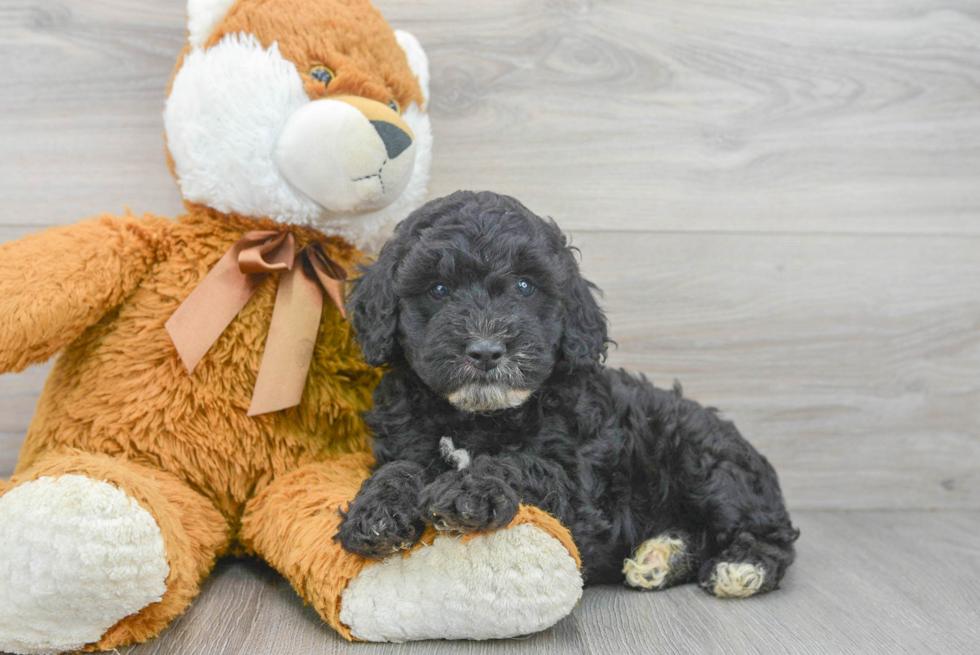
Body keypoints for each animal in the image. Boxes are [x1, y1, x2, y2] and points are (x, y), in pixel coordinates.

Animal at [336, 191, 796, 600]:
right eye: (437, 289)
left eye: (524, 286)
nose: (485, 350)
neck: (479, 416)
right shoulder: (404, 439)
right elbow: (397, 469)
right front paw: (377, 511)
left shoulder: (581, 491)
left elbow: (522, 465)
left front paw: (470, 491)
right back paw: (659, 559)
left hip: (707, 464)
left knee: (767, 534)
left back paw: (741, 567)